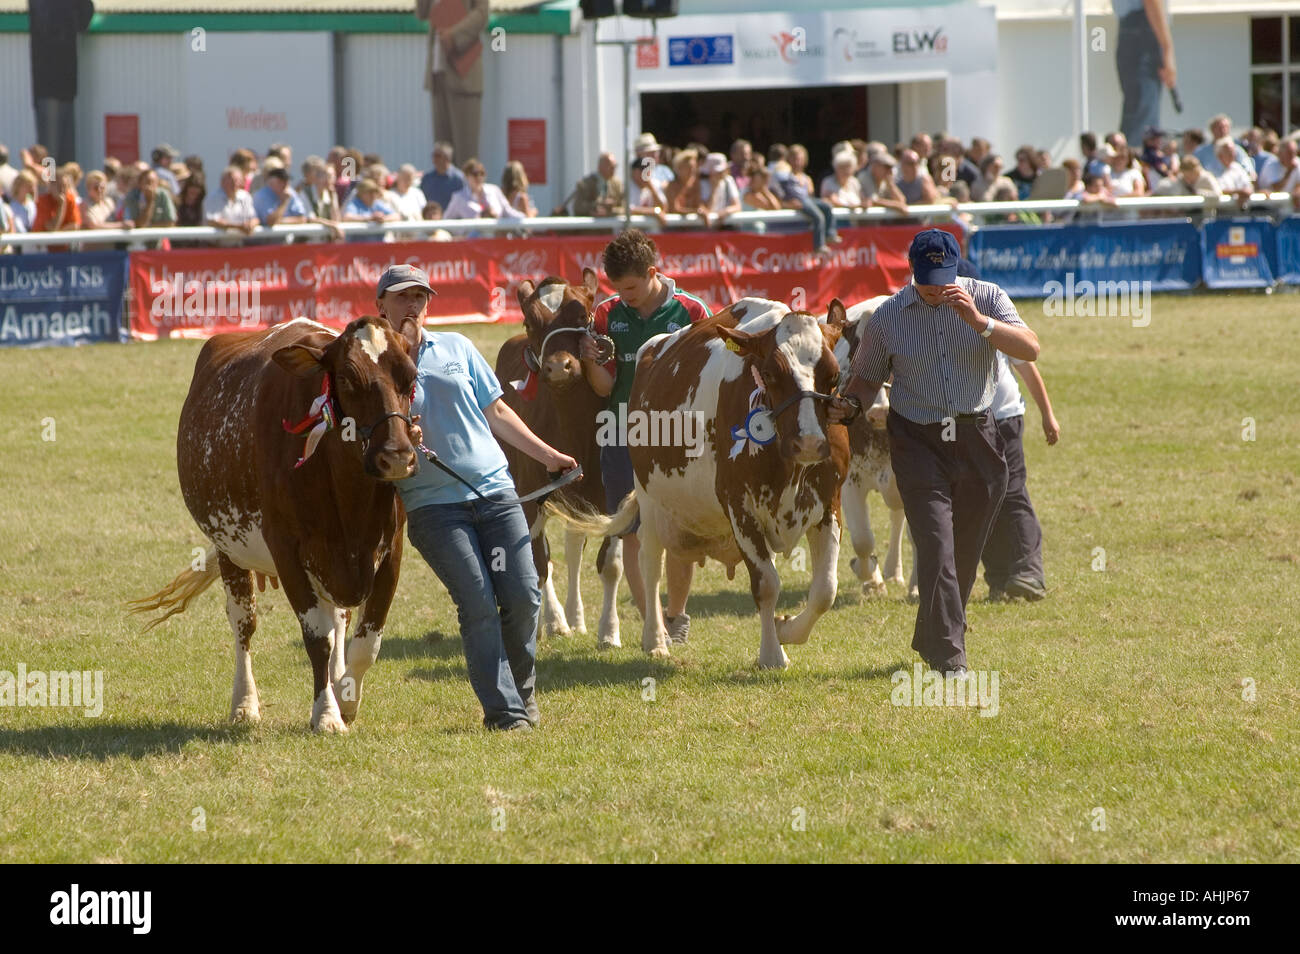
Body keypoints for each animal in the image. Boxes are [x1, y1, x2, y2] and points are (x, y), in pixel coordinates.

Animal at [129, 317, 418, 738]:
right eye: (347, 378)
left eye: (411, 377)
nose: (396, 457)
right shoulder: (287, 550)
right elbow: (317, 637)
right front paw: (327, 714)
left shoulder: (390, 549)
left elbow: (367, 642)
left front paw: (346, 698)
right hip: (229, 548)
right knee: (244, 623)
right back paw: (244, 703)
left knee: (339, 619)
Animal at [493, 272, 626, 655]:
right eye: (529, 321)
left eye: (582, 317)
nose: (558, 366)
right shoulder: (529, 493)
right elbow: (537, 563)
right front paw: (539, 626)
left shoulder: (616, 493)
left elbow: (610, 563)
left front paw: (609, 631)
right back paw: (555, 621)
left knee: (573, 544)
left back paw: (575, 617)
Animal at [551, 302, 847, 670]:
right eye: (770, 373)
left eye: (834, 376)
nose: (808, 443)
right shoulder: (740, 506)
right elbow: (766, 584)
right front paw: (771, 654)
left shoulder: (830, 503)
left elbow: (825, 590)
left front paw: (786, 629)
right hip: (650, 500)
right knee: (650, 565)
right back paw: (655, 639)